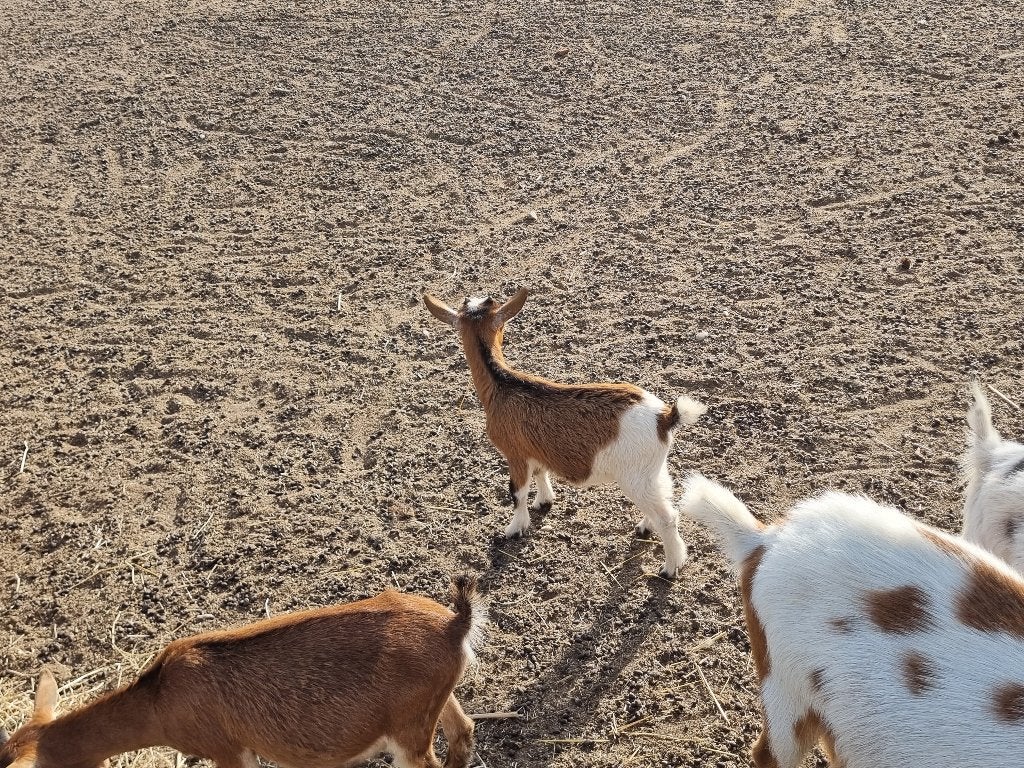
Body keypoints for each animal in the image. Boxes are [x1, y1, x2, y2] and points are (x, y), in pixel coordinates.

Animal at [0, 577, 486, 768]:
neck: (159, 701)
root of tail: (455, 623)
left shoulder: (228, 750)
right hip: (434, 701)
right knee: (463, 731)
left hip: (407, 732)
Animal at [423, 288, 706, 577]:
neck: (502, 384)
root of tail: (665, 417)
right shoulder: (534, 449)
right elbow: (540, 472)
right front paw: (544, 501)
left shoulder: (515, 453)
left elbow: (517, 492)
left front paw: (515, 528)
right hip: (651, 471)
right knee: (664, 499)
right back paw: (645, 527)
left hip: (635, 475)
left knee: (668, 517)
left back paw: (670, 568)